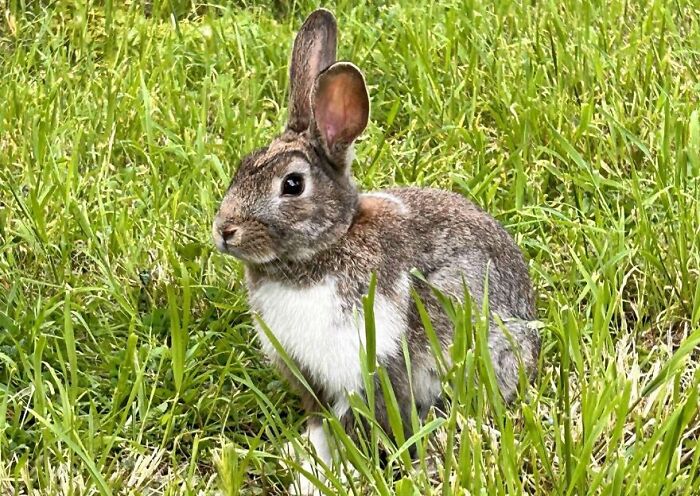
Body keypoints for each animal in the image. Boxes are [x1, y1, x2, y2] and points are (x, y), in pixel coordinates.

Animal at [212, 8, 539, 494]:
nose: (224, 231)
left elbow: (358, 425)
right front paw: (305, 460)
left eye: (292, 184)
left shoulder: (367, 364)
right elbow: (321, 425)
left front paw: (332, 476)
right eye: (243, 166)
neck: (328, 245)